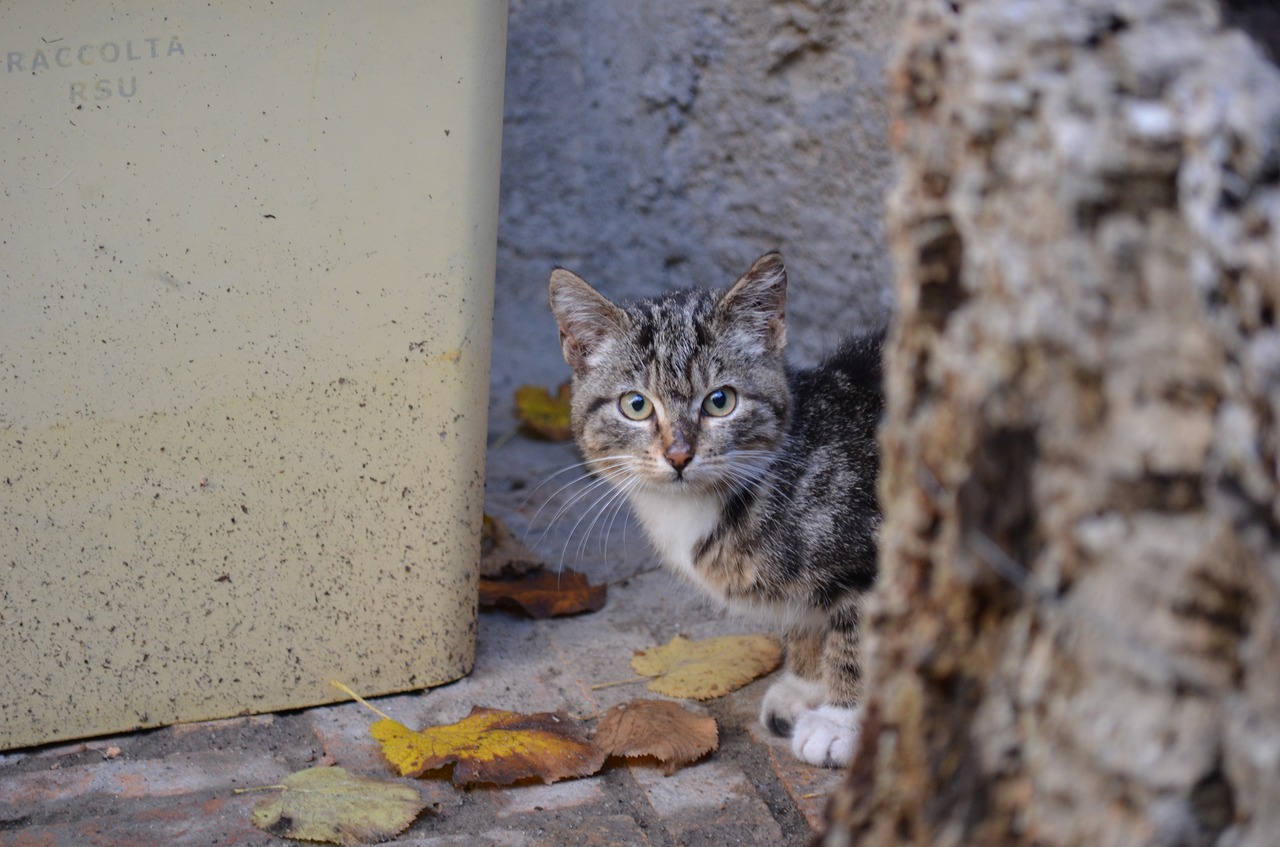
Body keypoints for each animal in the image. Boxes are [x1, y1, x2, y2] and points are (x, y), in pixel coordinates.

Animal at [545, 252, 885, 767]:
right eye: (636, 405)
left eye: (720, 401)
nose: (679, 455)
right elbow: (810, 618)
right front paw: (806, 685)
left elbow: (861, 634)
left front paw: (840, 721)